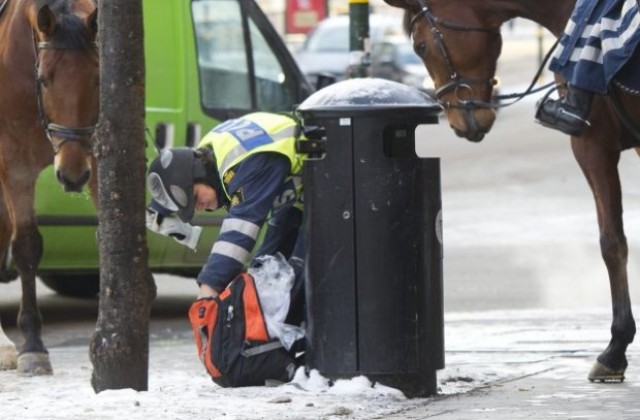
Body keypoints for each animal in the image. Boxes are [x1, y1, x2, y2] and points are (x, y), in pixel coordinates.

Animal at [0, 0, 97, 374]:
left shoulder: (92, 149)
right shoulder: (14, 164)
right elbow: (27, 245)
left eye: (97, 79)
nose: (72, 175)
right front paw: (33, 344)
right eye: (44, 79)